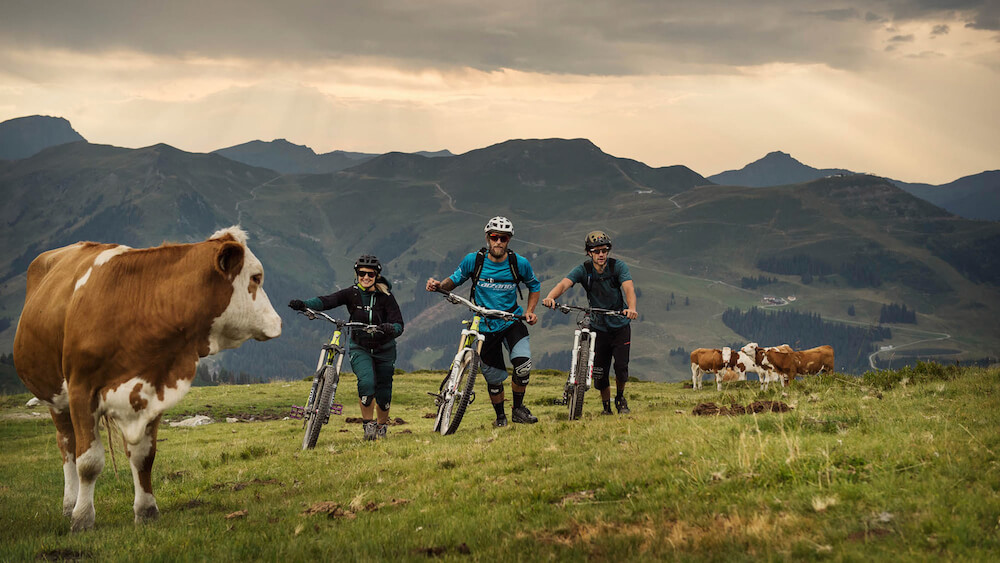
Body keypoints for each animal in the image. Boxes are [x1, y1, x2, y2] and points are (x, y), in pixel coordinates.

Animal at [13, 227, 282, 532]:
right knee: (67, 446)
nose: (279, 321)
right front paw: (82, 518)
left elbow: (144, 457)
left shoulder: (153, 390)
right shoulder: (82, 390)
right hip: (56, 398)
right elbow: (88, 462)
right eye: (256, 277)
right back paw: (69, 506)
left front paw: (147, 510)